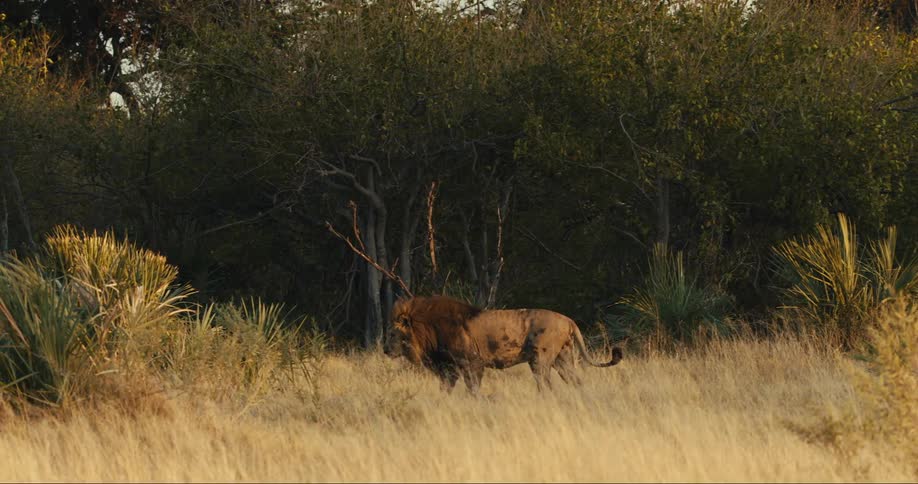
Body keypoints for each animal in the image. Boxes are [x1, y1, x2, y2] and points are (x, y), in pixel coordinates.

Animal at [384, 295, 623, 393]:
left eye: (393, 334)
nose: (385, 350)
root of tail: (568, 319)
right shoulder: (448, 368)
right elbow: (446, 389)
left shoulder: (471, 363)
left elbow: (473, 389)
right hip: (562, 359)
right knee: (577, 382)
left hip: (540, 360)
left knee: (546, 386)